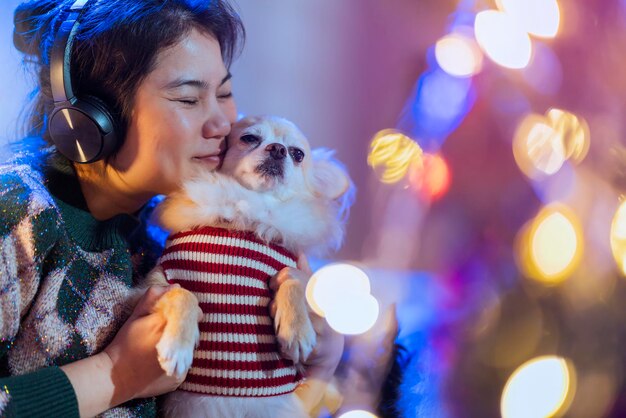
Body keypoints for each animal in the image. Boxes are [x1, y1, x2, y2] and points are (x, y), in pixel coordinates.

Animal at [144, 115, 354, 418]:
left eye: (298, 154)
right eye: (249, 138)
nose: (278, 149)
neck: (250, 208)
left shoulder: (293, 269)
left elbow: (293, 279)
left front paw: (297, 330)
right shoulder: (152, 284)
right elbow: (182, 293)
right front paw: (177, 346)